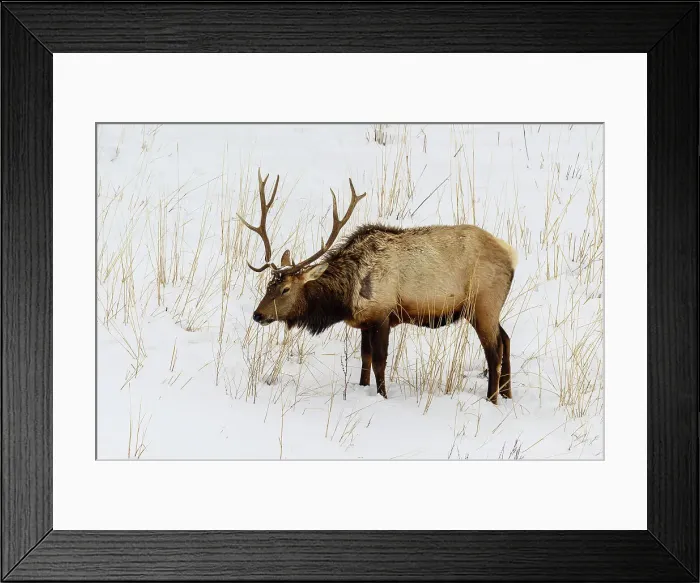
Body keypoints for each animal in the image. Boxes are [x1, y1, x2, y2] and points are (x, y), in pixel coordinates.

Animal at [240, 169, 518, 404]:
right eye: (268, 285)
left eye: (285, 289)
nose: (257, 315)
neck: (345, 297)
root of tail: (511, 256)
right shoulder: (364, 321)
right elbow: (365, 358)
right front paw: (363, 388)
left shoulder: (383, 313)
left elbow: (380, 362)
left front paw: (382, 396)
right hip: (487, 308)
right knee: (505, 339)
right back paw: (507, 394)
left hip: (483, 303)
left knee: (493, 351)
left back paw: (492, 399)